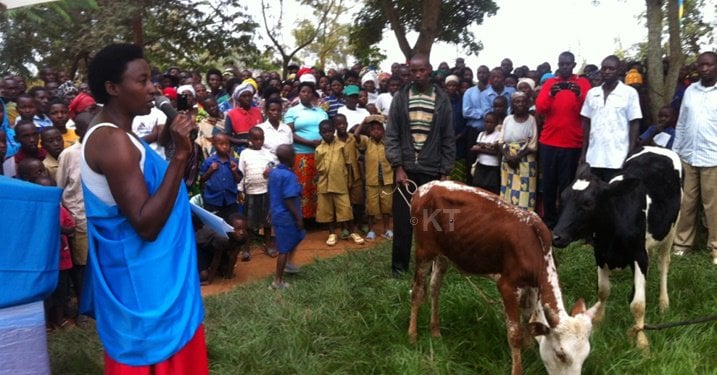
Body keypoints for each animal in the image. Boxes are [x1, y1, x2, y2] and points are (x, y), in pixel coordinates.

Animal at [408, 181, 592, 374]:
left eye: (584, 357)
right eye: (560, 354)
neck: (536, 247)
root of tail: (425, 187)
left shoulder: (532, 287)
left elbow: (528, 318)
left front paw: (529, 350)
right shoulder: (507, 286)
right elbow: (514, 333)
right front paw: (518, 368)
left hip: (444, 255)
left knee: (435, 287)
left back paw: (435, 331)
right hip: (423, 251)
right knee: (417, 291)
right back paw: (412, 335)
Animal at [552, 146, 680, 350]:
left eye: (588, 203)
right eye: (563, 197)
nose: (556, 236)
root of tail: (658, 147)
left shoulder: (639, 255)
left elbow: (638, 304)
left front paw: (641, 339)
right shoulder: (600, 253)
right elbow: (603, 290)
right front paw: (597, 323)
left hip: (671, 230)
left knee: (663, 265)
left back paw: (663, 303)